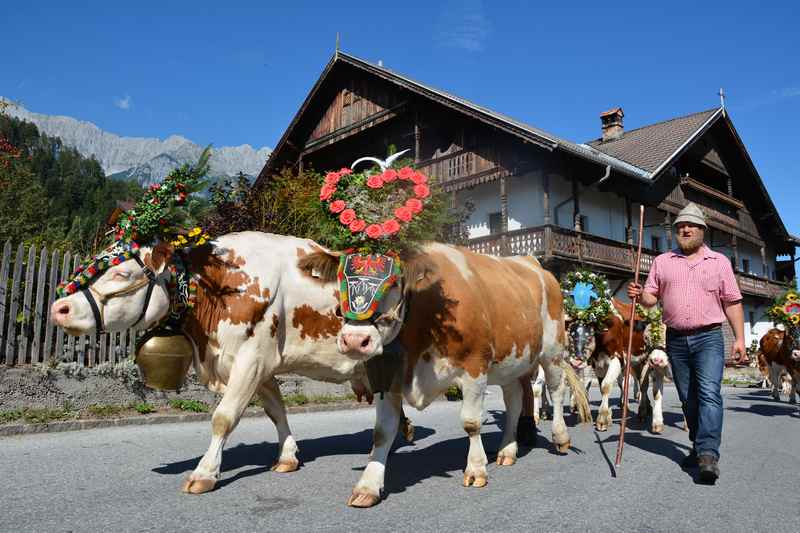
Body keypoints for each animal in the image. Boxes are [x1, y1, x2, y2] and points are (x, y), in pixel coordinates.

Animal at [49, 233, 412, 494]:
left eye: (123, 273)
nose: (59, 308)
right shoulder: (260, 364)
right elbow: (276, 411)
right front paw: (287, 457)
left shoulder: (251, 359)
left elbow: (223, 418)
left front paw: (205, 472)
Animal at [300, 243, 592, 504]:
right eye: (340, 282)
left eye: (393, 283)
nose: (354, 340)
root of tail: (534, 264)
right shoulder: (389, 377)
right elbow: (382, 432)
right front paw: (367, 487)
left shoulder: (475, 367)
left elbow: (471, 422)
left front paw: (476, 469)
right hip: (511, 361)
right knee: (514, 400)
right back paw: (508, 449)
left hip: (553, 350)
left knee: (556, 390)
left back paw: (560, 438)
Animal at [564, 298, 672, 434]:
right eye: (571, 335)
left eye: (589, 336)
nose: (576, 361)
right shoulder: (598, 364)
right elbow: (601, 386)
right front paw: (607, 416)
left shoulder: (617, 358)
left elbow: (606, 386)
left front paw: (602, 420)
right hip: (634, 362)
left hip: (644, 361)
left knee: (643, 385)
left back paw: (642, 411)